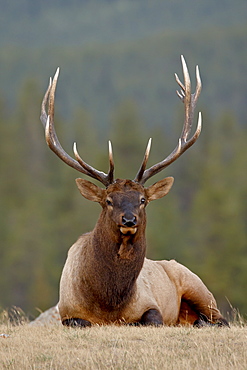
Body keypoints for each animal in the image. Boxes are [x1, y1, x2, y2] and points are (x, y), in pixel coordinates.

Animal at [39, 55, 229, 326]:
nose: (129, 219)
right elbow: (80, 321)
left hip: (199, 286)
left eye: (142, 200)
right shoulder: (67, 311)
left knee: (221, 318)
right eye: (108, 200)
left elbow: (151, 319)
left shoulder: (150, 304)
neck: (108, 303)